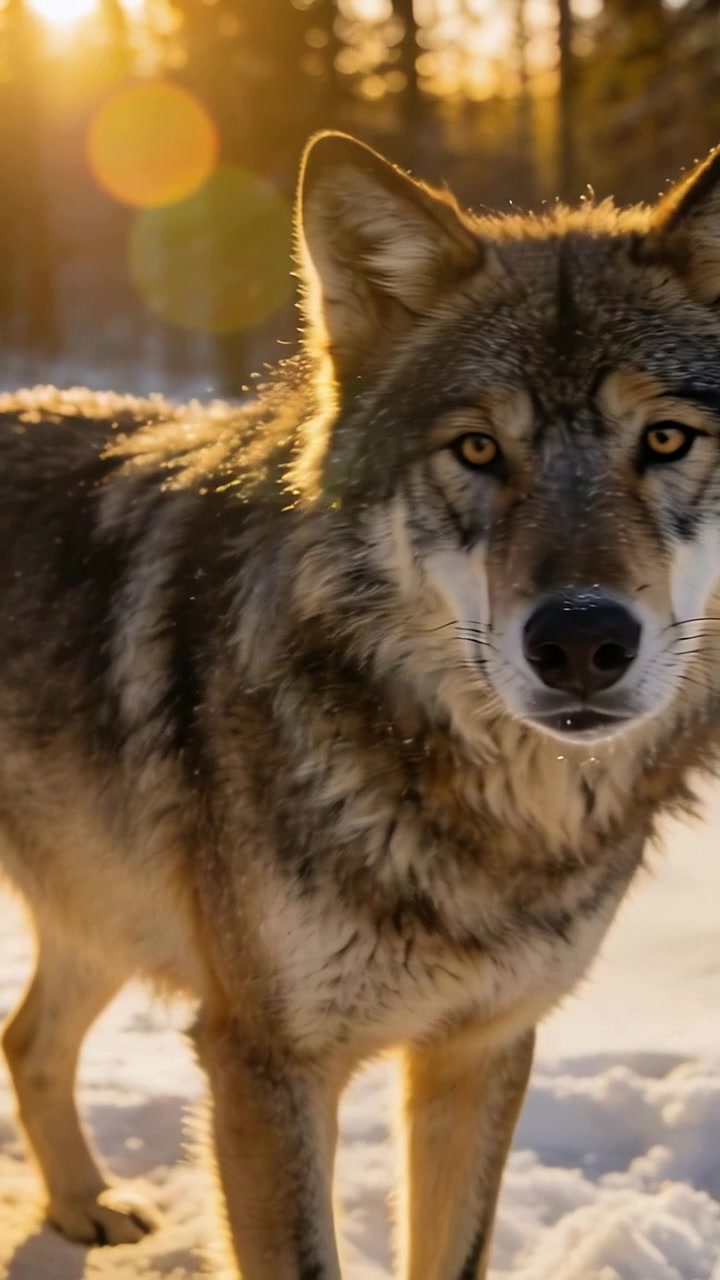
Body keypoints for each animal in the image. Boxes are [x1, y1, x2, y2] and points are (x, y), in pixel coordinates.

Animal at [0, 131, 719, 1278]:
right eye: (477, 449)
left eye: (665, 439)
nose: (581, 642)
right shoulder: (264, 1062)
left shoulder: (482, 1048)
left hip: (103, 908)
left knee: (26, 1037)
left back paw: (81, 1209)